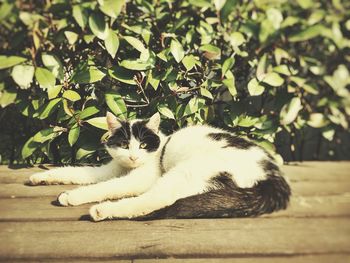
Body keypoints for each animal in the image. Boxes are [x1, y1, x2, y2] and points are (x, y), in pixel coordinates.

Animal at [27, 112, 292, 222]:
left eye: (143, 144)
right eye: (124, 144)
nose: (133, 157)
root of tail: (272, 175)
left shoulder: (140, 179)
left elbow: (107, 187)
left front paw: (73, 196)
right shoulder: (108, 170)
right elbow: (77, 171)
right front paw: (41, 177)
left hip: (187, 172)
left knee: (154, 200)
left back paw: (102, 211)